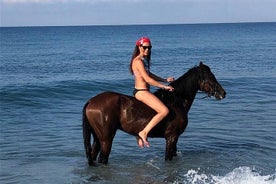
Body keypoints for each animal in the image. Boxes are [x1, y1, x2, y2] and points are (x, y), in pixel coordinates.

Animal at [82, 61, 226, 165]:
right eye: (211, 77)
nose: (223, 93)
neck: (176, 100)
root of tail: (91, 101)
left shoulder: (175, 139)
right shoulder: (171, 137)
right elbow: (168, 158)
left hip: (98, 138)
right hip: (106, 139)